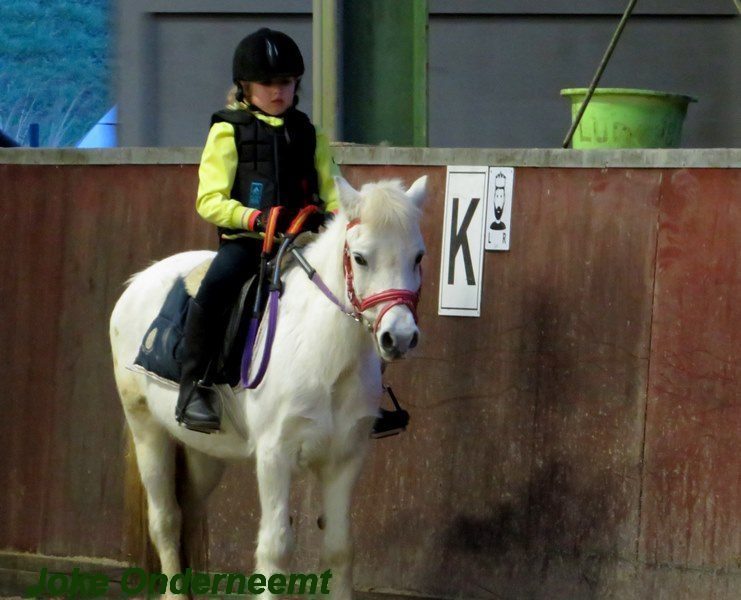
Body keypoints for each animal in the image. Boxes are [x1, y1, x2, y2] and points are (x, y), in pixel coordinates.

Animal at [107, 176, 424, 596]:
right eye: (360, 258)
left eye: (418, 256)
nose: (399, 337)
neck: (326, 356)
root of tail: (138, 280)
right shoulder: (275, 455)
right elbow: (276, 548)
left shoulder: (345, 458)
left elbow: (340, 548)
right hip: (148, 431)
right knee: (166, 519)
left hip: (204, 453)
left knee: (189, 513)